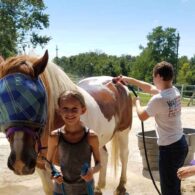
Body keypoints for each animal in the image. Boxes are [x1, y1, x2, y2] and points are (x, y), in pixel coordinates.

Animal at [0, 50, 133, 195]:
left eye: (39, 99)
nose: (19, 162)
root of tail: (116, 81)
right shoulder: (41, 164)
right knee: (104, 155)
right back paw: (99, 188)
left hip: (123, 131)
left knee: (124, 155)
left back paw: (121, 186)